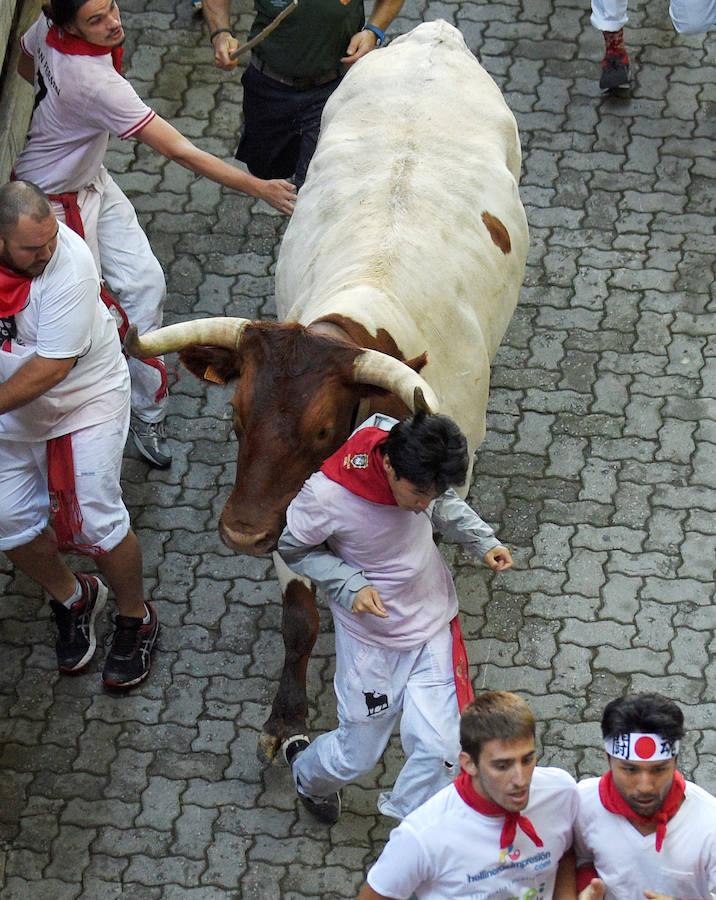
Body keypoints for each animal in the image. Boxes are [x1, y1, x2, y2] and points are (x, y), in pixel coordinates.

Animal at [124, 21, 524, 764]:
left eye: (318, 431)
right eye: (236, 418)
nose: (241, 532)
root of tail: (435, 35)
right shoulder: (289, 509)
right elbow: (299, 615)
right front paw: (285, 717)